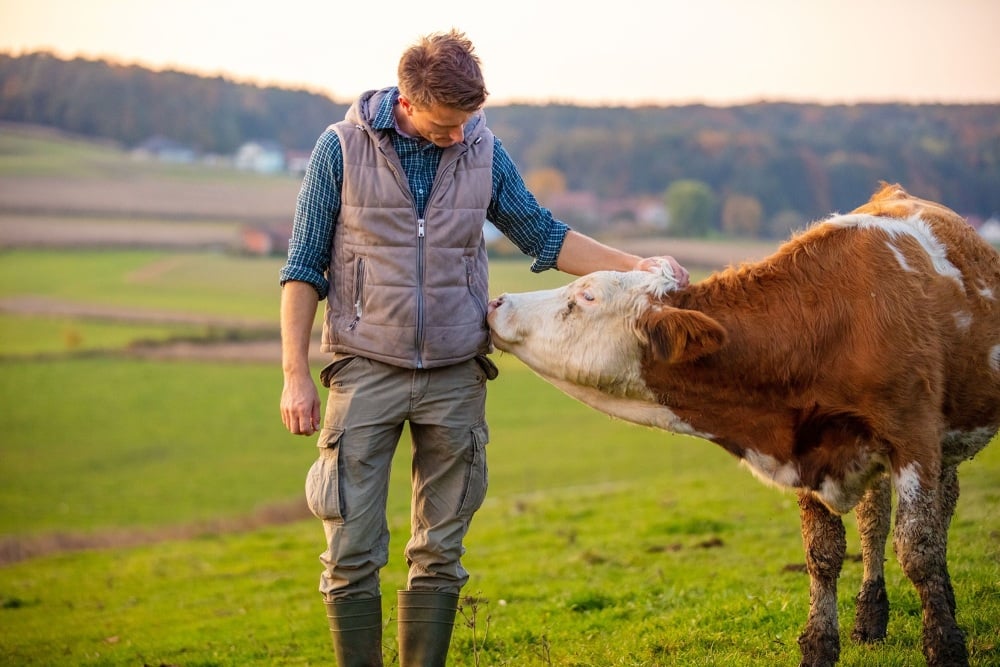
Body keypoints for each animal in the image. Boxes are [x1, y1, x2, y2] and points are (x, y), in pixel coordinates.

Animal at [486, 184, 999, 667]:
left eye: (586, 296)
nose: (497, 302)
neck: (829, 323)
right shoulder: (808, 447)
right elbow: (823, 553)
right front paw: (819, 647)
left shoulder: (913, 437)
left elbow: (918, 548)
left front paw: (946, 646)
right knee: (876, 520)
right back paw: (871, 617)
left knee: (933, 516)